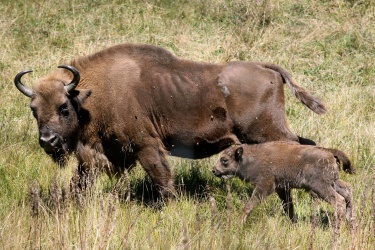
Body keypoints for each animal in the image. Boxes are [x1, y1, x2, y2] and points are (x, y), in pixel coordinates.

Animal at [13, 44, 326, 198]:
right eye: (33, 109)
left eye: (64, 107)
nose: (48, 141)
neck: (93, 93)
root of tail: (267, 69)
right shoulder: (106, 155)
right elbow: (80, 182)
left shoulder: (146, 146)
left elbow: (161, 179)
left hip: (266, 133)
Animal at [213, 143, 356, 223]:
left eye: (224, 160)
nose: (214, 170)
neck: (249, 158)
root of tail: (330, 152)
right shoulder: (281, 189)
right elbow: (288, 207)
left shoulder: (265, 185)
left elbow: (250, 204)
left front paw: (240, 222)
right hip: (334, 182)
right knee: (347, 191)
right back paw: (349, 220)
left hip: (321, 187)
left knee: (339, 200)